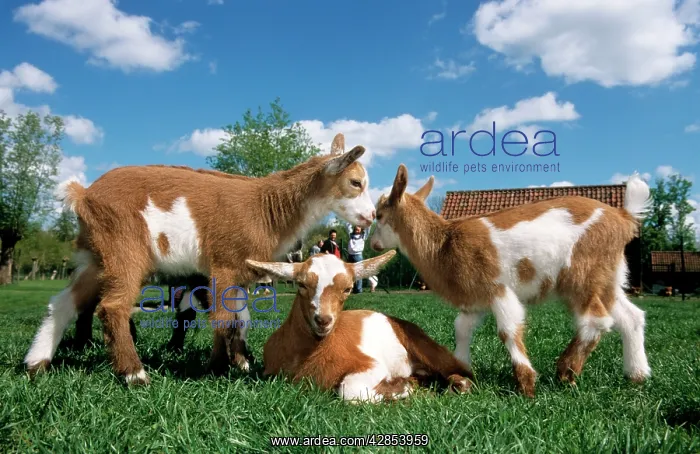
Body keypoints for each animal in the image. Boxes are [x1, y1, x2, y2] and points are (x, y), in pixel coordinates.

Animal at [24, 134, 376, 385]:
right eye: (355, 183)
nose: (372, 216)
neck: (266, 207)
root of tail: (83, 194)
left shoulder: (241, 271)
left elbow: (242, 317)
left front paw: (242, 361)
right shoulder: (223, 264)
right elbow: (222, 317)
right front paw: (217, 367)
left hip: (97, 255)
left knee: (63, 303)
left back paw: (36, 363)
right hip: (123, 247)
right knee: (112, 306)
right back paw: (134, 375)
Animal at [247, 251, 473, 403]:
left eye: (347, 289)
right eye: (301, 285)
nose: (323, 320)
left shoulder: (371, 365)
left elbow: (348, 391)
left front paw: (402, 387)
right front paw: (407, 384)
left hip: (426, 346)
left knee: (463, 372)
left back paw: (456, 385)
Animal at [369, 164, 652, 397]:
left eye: (379, 215)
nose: (373, 243)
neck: (444, 243)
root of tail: (623, 218)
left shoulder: (498, 290)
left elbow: (507, 329)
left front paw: (526, 385)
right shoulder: (473, 301)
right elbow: (461, 329)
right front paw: (460, 372)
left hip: (581, 274)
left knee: (596, 319)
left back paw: (566, 372)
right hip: (608, 277)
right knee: (631, 317)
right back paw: (637, 376)